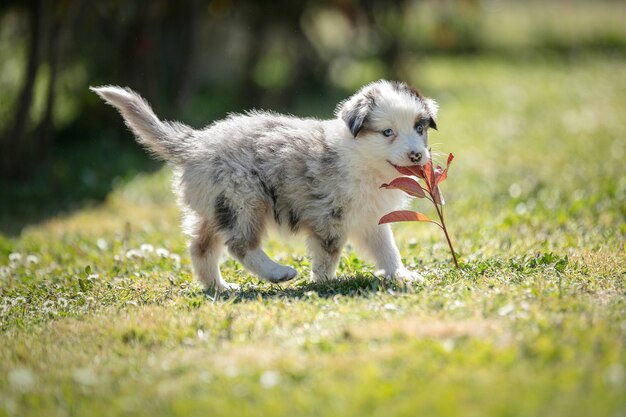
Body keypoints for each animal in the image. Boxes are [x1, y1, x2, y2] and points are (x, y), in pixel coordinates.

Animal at [90, 80, 436, 290]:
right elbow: (328, 254)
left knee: (201, 247)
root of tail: (195, 143)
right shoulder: (329, 216)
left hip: (215, 205)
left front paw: (402, 275)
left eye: (419, 128)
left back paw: (219, 288)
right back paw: (278, 272)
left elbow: (387, 248)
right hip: (244, 198)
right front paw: (324, 282)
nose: (417, 155)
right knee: (240, 245)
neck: (364, 161)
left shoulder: (370, 217)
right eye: (388, 132)